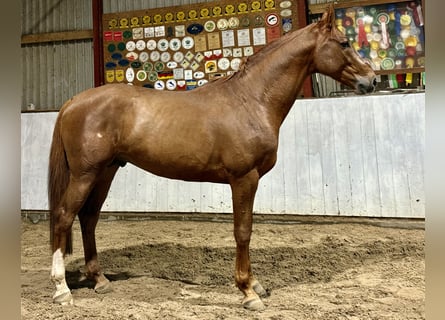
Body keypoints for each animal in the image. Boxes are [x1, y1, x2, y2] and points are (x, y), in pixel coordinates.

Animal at [48, 5, 374, 310]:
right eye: (344, 43)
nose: (370, 80)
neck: (251, 100)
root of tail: (73, 102)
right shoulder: (244, 179)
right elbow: (243, 231)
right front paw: (248, 291)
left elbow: (247, 229)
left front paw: (255, 284)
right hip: (85, 174)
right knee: (64, 216)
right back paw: (62, 289)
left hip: (106, 171)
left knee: (88, 218)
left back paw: (99, 280)